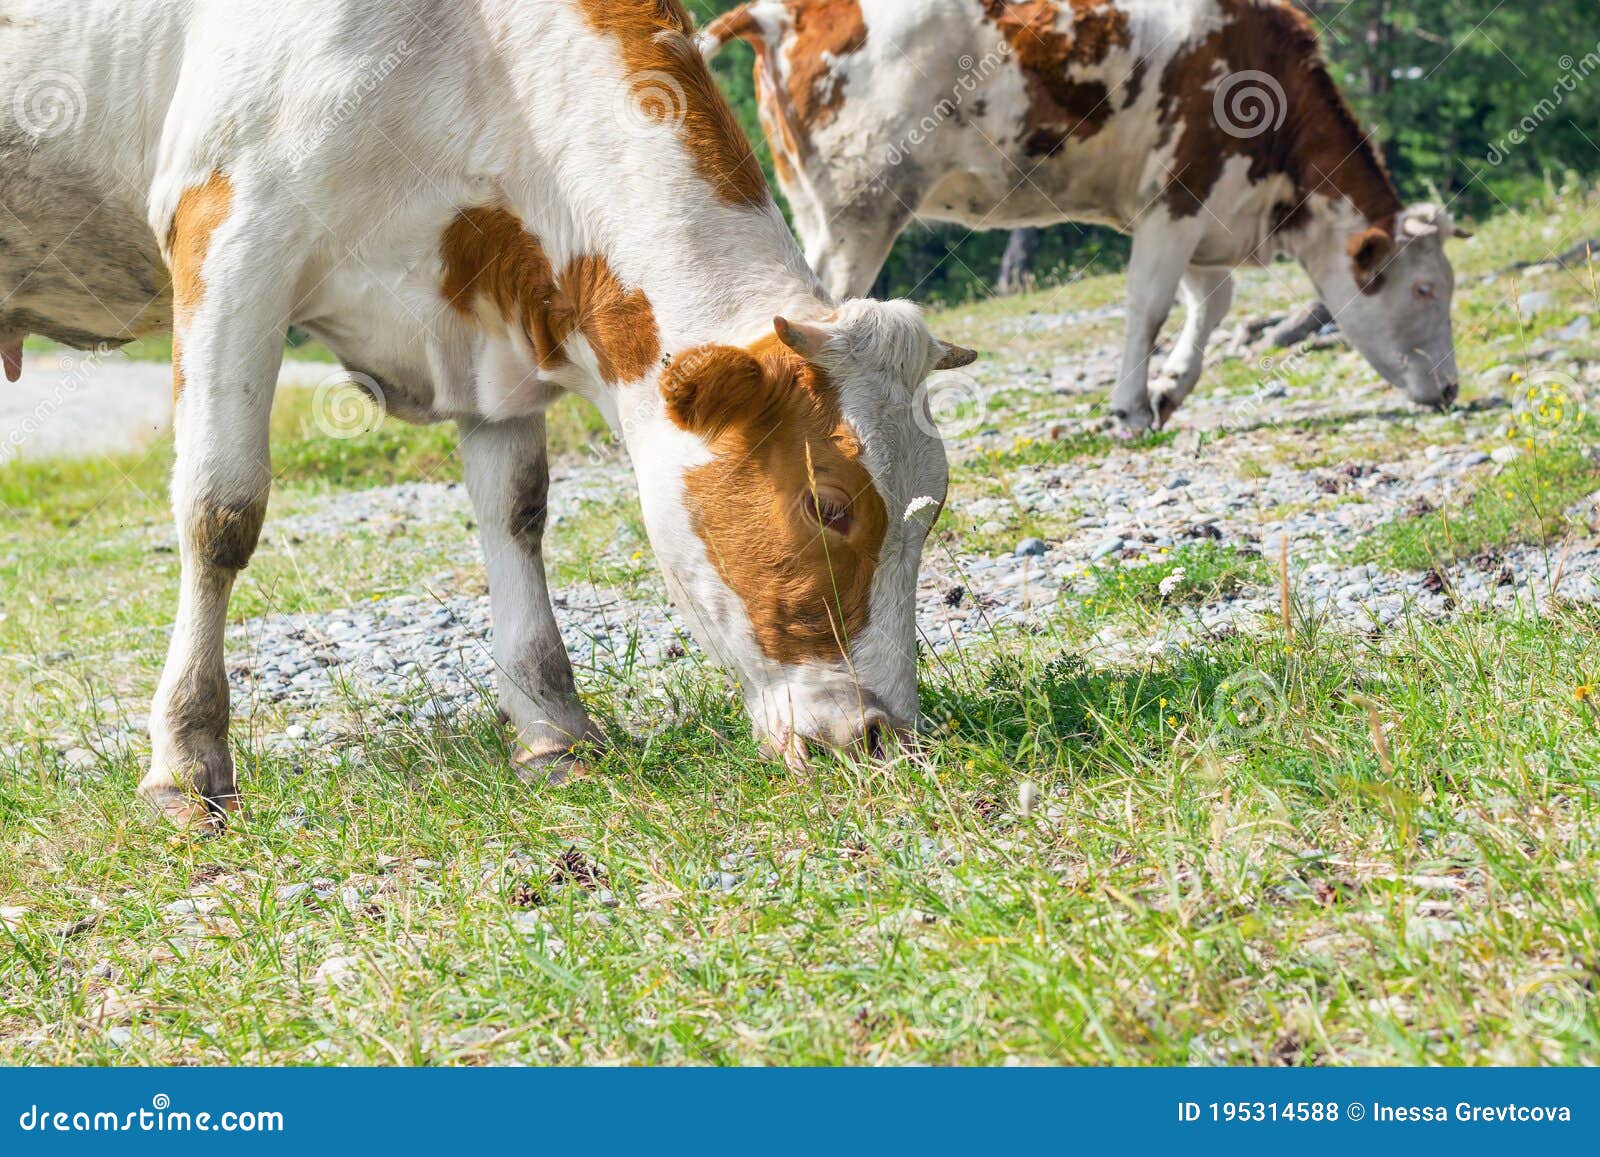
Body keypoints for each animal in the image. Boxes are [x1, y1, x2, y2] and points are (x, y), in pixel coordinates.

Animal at [0, 0, 978, 830]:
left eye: (931, 514)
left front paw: (555, 730)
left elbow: (517, 512)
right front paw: (187, 760)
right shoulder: (231, 224)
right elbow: (221, 510)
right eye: (827, 504)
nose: (880, 739)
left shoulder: (482, 308)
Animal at [702, 0, 1467, 432]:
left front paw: (1171, 388)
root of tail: (785, 11)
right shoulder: (1179, 192)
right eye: (1425, 288)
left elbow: (1210, 301)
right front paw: (1132, 409)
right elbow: (1149, 306)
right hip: (862, 204)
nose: (1453, 389)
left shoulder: (1201, 212)